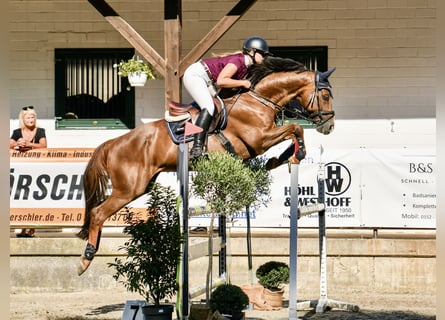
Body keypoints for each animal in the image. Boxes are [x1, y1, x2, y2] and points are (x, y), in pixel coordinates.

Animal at [77, 55, 332, 276]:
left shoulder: (261, 141)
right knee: (98, 213)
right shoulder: (259, 139)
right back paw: (85, 259)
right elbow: (294, 129)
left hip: (141, 185)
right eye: (325, 94)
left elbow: (291, 132)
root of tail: (112, 143)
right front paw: (294, 154)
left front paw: (282, 158)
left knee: (98, 212)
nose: (329, 126)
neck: (257, 100)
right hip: (129, 188)